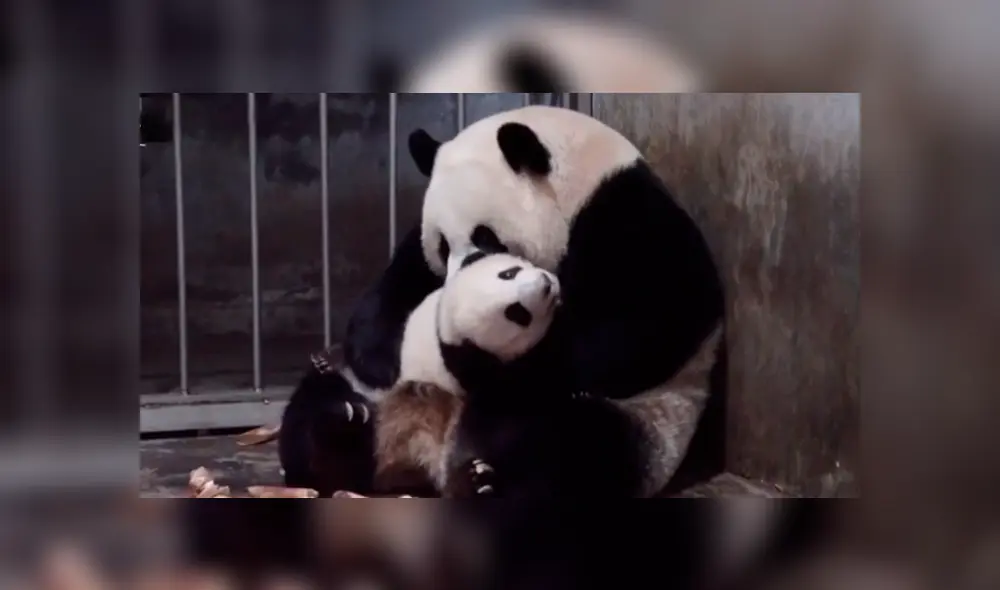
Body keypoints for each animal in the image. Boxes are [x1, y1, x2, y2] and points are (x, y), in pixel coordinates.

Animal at [278, 251, 563, 497]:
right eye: (517, 312)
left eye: (509, 273)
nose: (546, 285)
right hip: (357, 397)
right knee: (312, 438)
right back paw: (343, 422)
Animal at [346, 104, 726, 498]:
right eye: (443, 246)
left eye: (486, 237)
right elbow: (400, 277)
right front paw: (377, 355)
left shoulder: (628, 218)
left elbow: (641, 327)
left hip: (650, 422)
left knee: (575, 443)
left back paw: (488, 480)